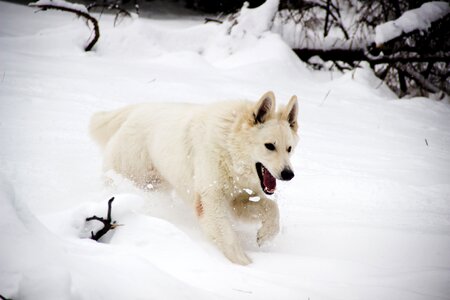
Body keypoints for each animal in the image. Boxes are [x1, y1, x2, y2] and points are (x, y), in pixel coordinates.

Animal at [89, 92, 298, 264]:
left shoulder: (238, 200)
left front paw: (266, 235)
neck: (229, 147)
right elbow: (227, 237)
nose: (289, 174)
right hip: (132, 177)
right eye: (269, 146)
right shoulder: (210, 201)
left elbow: (272, 208)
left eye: (289, 149)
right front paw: (244, 265)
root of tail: (136, 110)